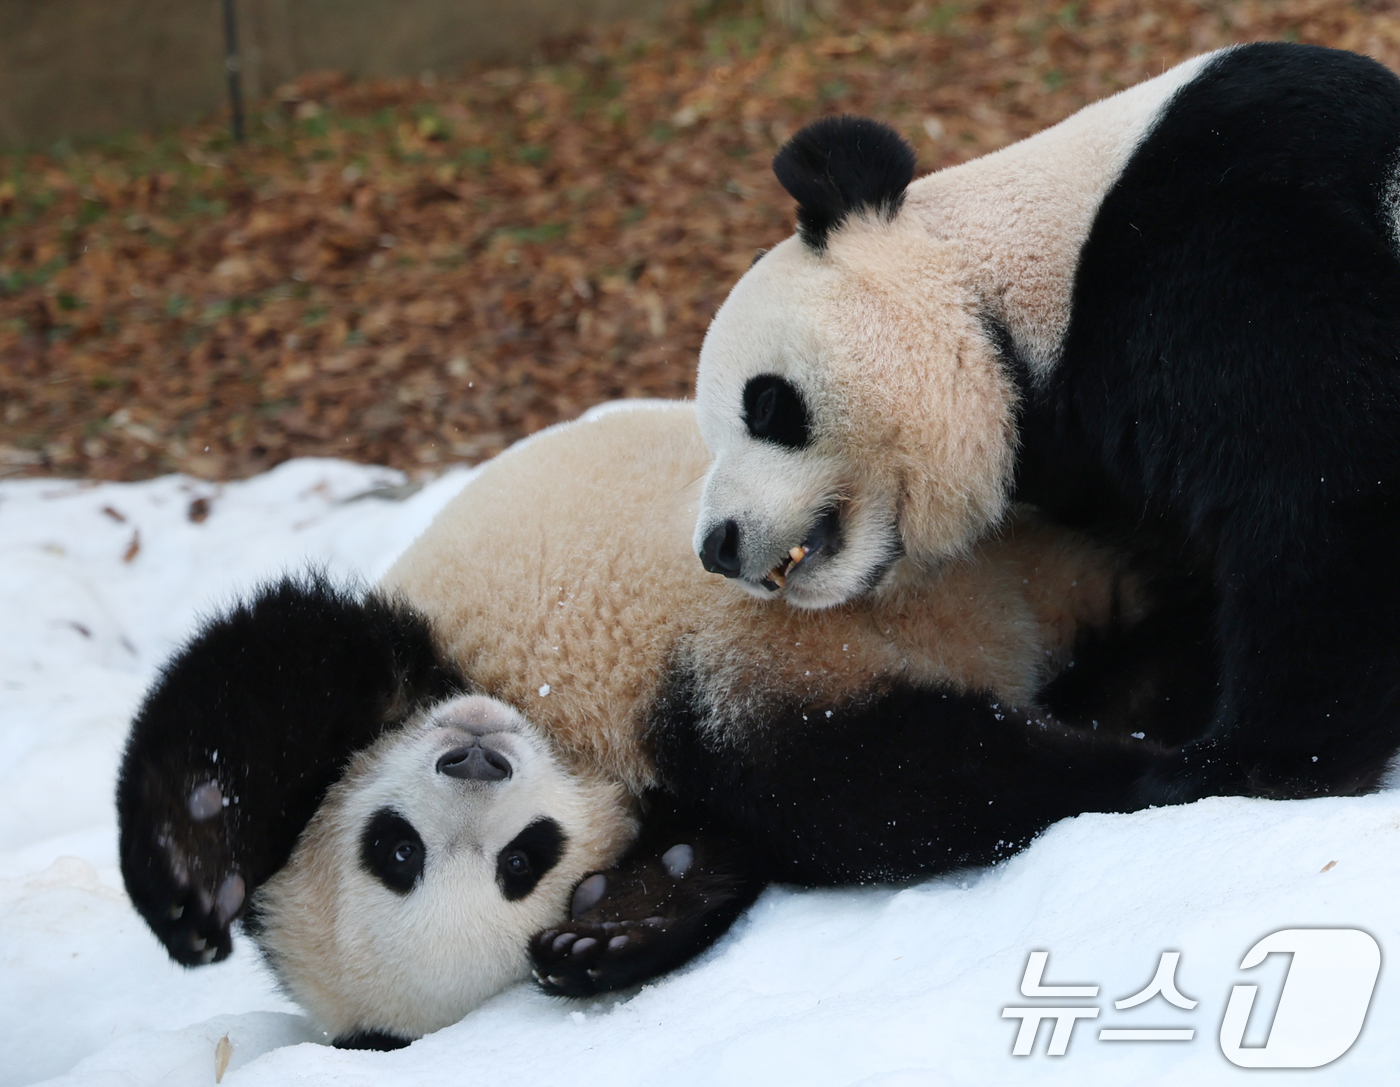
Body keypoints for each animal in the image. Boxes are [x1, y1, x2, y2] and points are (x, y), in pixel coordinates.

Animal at [117, 403, 1215, 1047]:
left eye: (389, 847)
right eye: (525, 863)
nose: (475, 758)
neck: (565, 727)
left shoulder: (428, 646)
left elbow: (270, 673)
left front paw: (191, 864)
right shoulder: (707, 745)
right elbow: (809, 801)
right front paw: (615, 924)